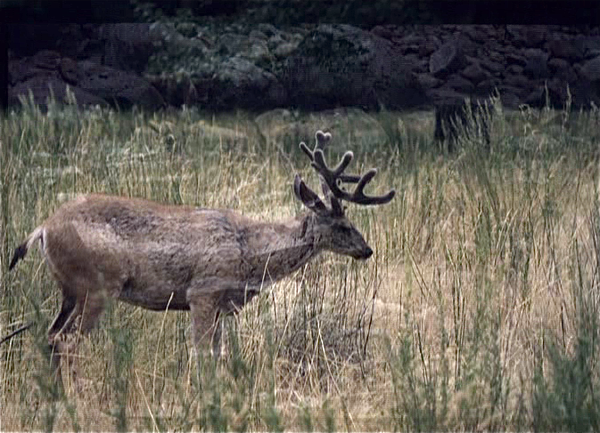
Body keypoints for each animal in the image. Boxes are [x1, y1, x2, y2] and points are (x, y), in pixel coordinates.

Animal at [9, 129, 396, 384]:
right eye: (343, 225)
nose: (367, 249)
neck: (249, 254)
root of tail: (42, 229)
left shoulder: (222, 305)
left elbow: (217, 354)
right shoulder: (203, 292)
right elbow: (201, 354)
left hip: (69, 291)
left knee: (50, 336)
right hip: (97, 286)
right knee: (68, 341)